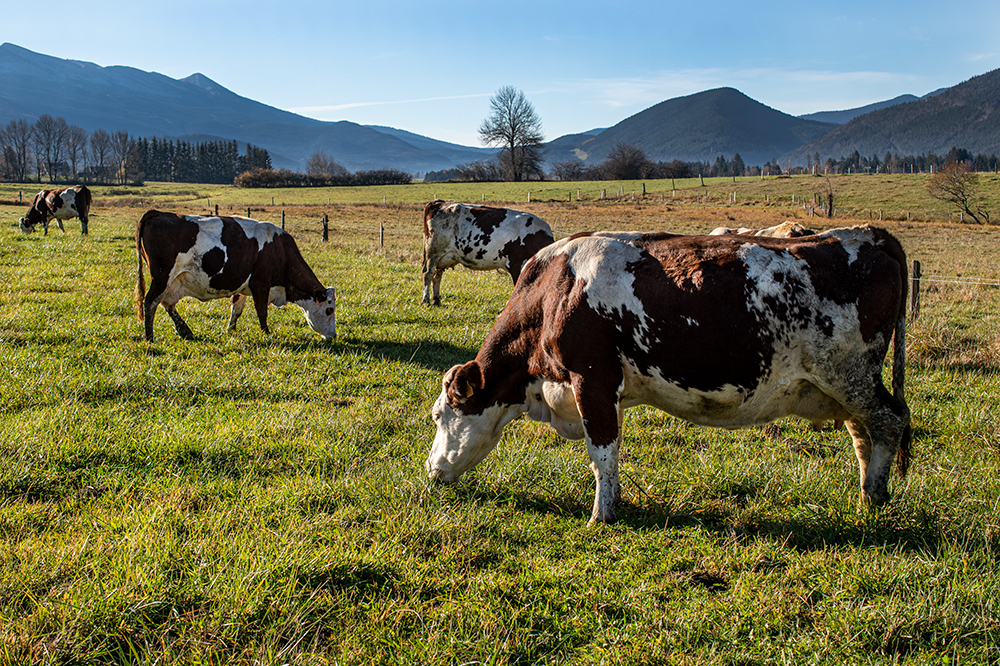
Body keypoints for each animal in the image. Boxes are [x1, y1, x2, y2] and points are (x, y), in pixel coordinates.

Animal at [135, 209, 338, 342]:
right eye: (329, 310)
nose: (333, 336)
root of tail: (159, 213)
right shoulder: (260, 284)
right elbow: (261, 311)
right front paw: (266, 333)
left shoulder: (242, 285)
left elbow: (236, 310)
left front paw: (230, 330)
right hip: (162, 276)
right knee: (151, 302)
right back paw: (149, 337)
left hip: (173, 281)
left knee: (167, 303)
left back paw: (185, 331)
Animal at [418, 200, 552, 306]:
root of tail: (439, 202)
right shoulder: (516, 264)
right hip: (433, 252)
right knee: (428, 273)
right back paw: (426, 301)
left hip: (443, 257)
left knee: (437, 275)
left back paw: (437, 301)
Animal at [426, 228, 912, 524]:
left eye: (439, 415)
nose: (431, 470)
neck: (553, 292)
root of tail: (868, 233)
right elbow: (608, 456)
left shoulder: (592, 380)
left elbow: (602, 455)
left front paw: (602, 515)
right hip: (846, 387)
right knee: (864, 434)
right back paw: (866, 494)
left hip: (851, 376)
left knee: (890, 421)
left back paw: (874, 497)